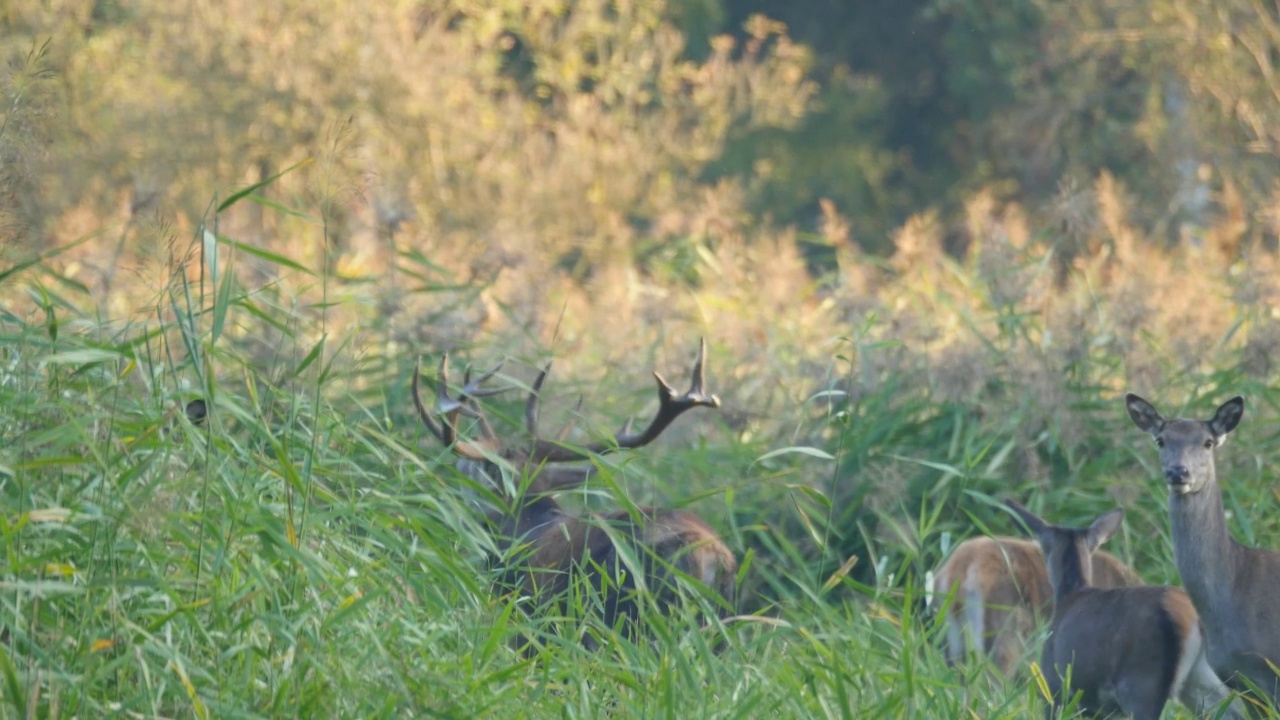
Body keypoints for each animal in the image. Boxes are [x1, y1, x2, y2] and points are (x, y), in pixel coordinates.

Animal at [417, 335, 742, 650]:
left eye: (478, 468)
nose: (458, 459)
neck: (524, 526)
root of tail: (708, 557)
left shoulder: (532, 613)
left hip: (619, 609)